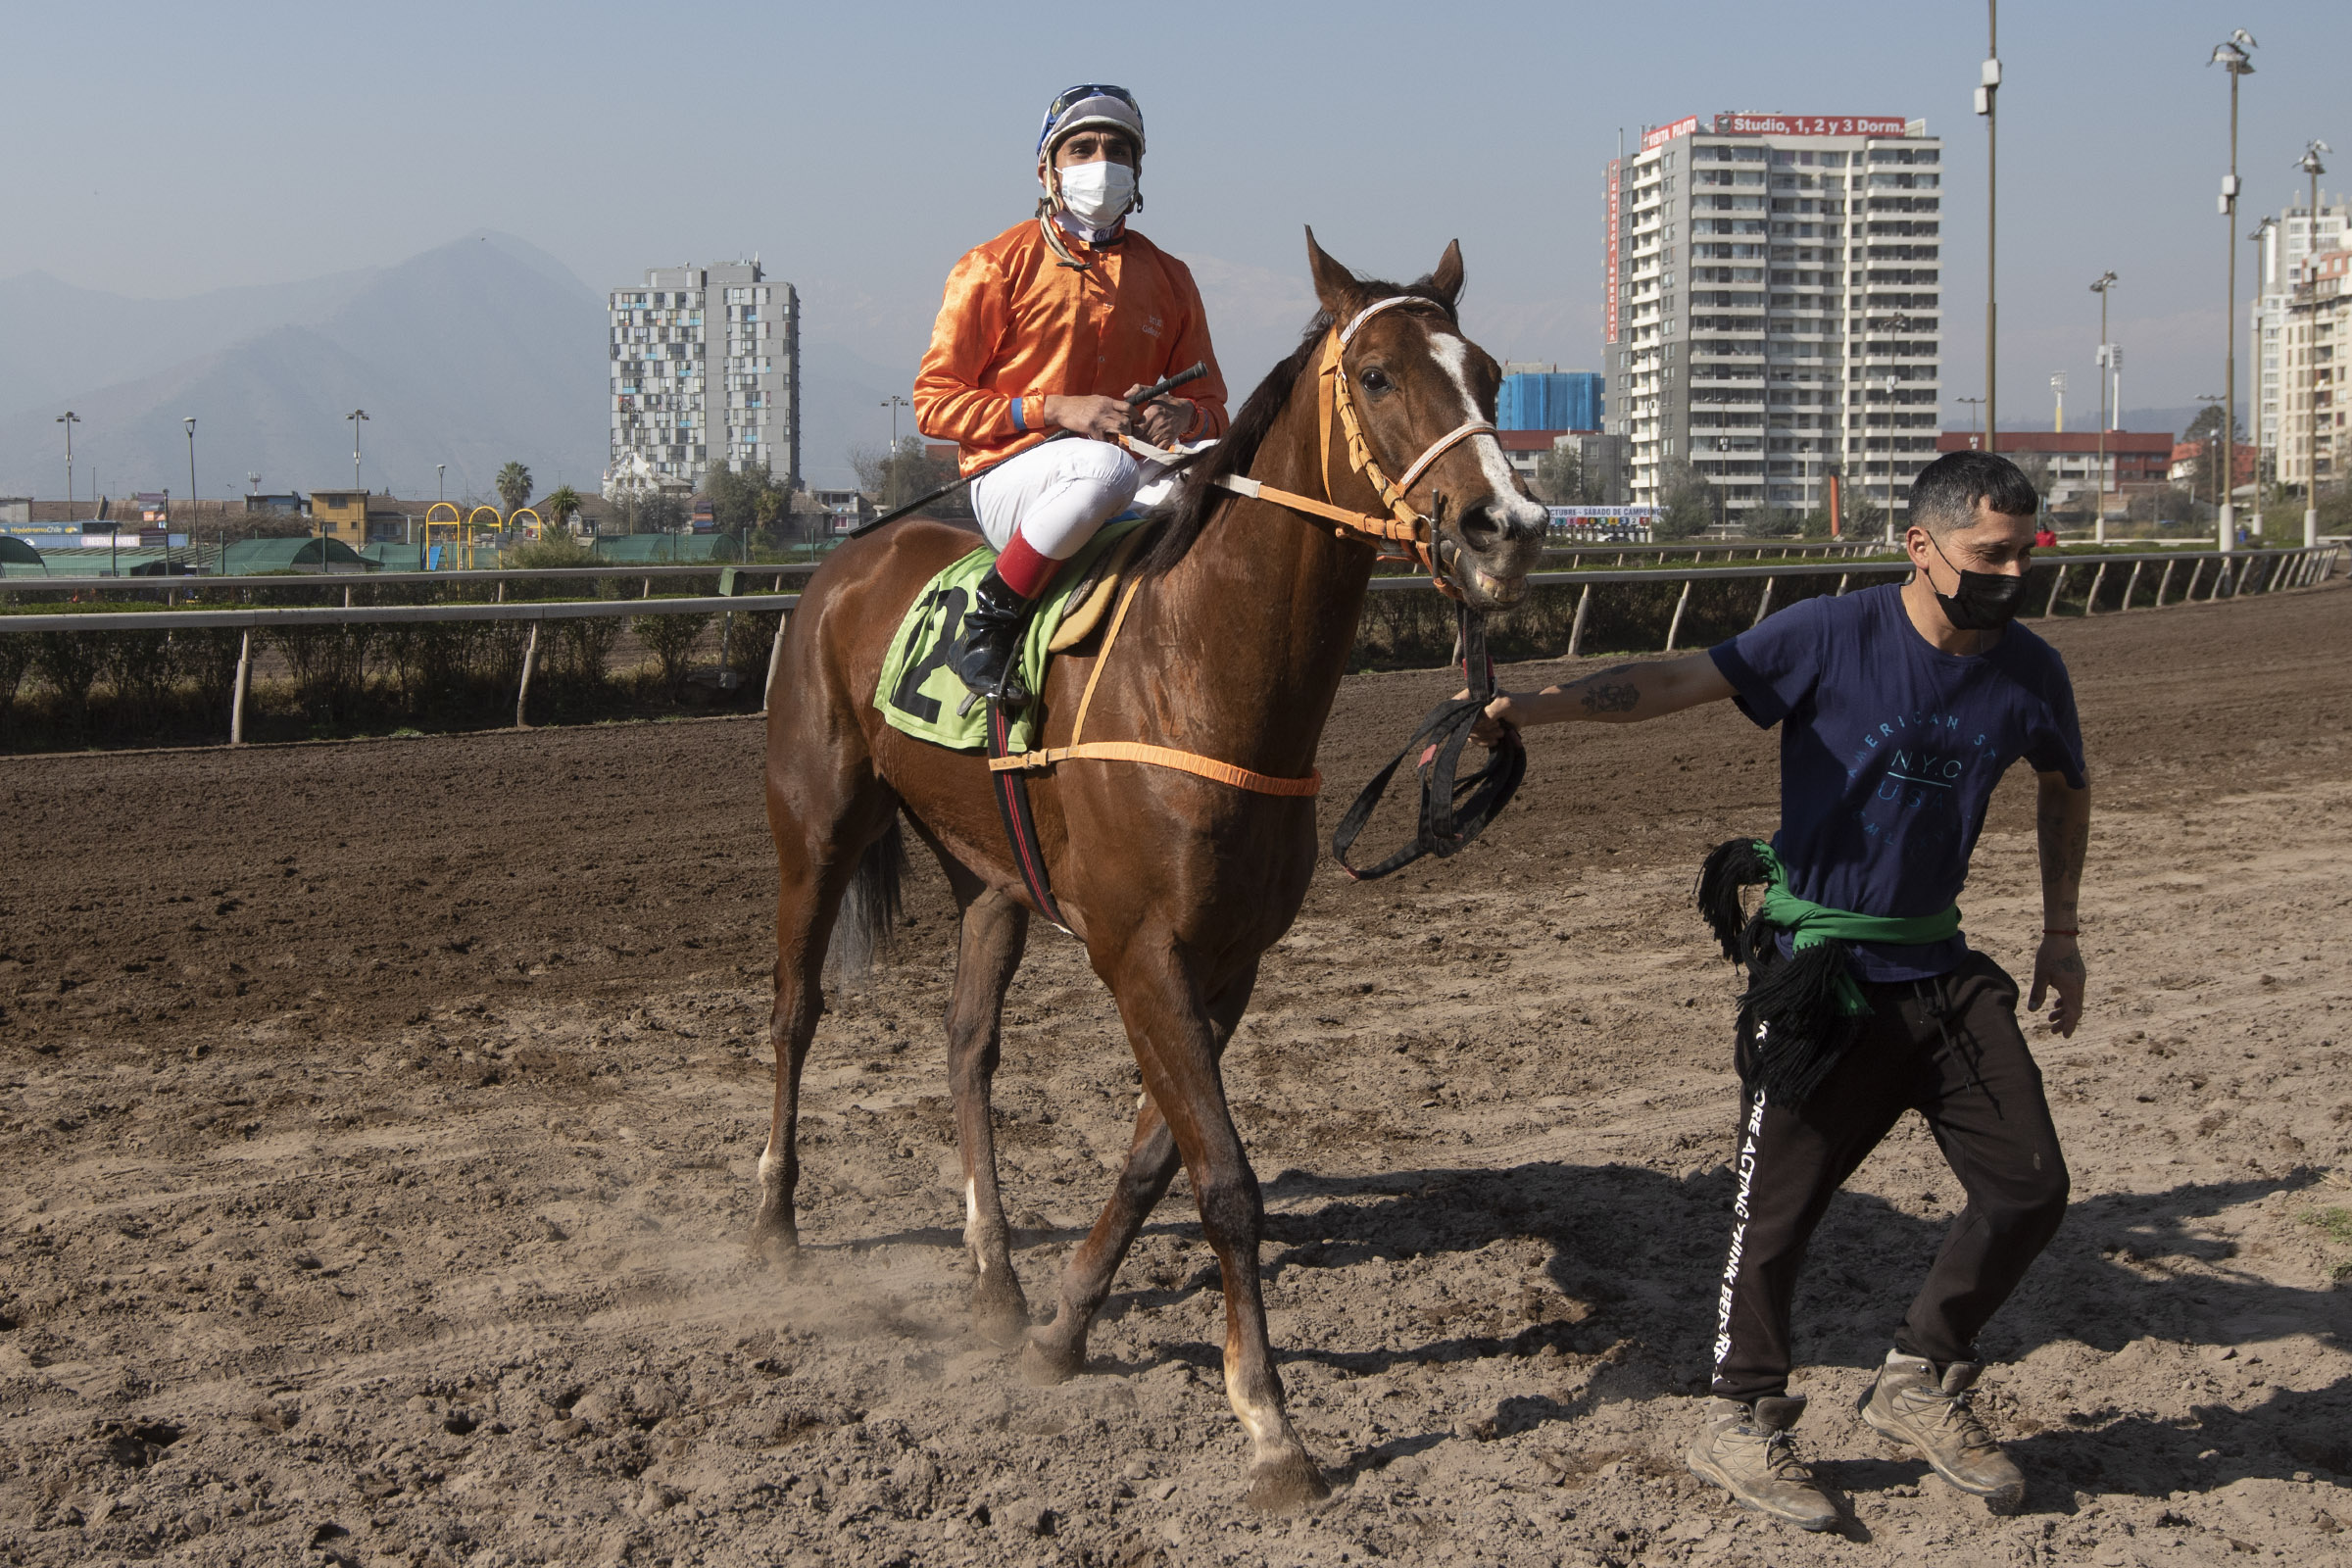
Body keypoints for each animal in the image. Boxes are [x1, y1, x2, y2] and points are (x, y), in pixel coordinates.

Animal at [753, 232, 1549, 1510]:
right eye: (1377, 374)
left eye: (1488, 371)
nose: (1506, 525)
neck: (1200, 671)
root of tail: (846, 559)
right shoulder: (1139, 951)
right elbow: (1223, 1176)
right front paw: (1271, 1424)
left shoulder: (1225, 960)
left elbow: (1154, 1157)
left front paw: (1063, 1323)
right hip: (815, 827)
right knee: (794, 1012)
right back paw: (774, 1225)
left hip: (990, 880)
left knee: (967, 1049)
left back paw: (995, 1277)